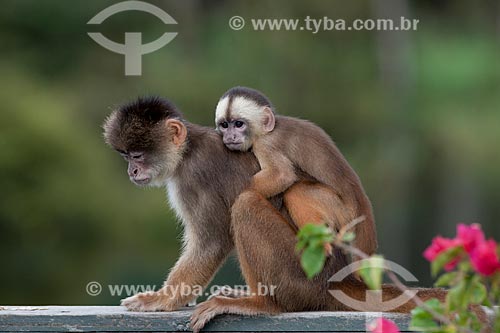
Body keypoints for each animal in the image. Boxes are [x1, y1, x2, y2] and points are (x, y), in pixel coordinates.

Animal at [215, 85, 376, 256]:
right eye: (224, 125)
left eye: (239, 124)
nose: (230, 136)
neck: (267, 131)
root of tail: (361, 204)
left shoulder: (265, 144)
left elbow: (282, 176)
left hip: (343, 214)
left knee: (296, 191)